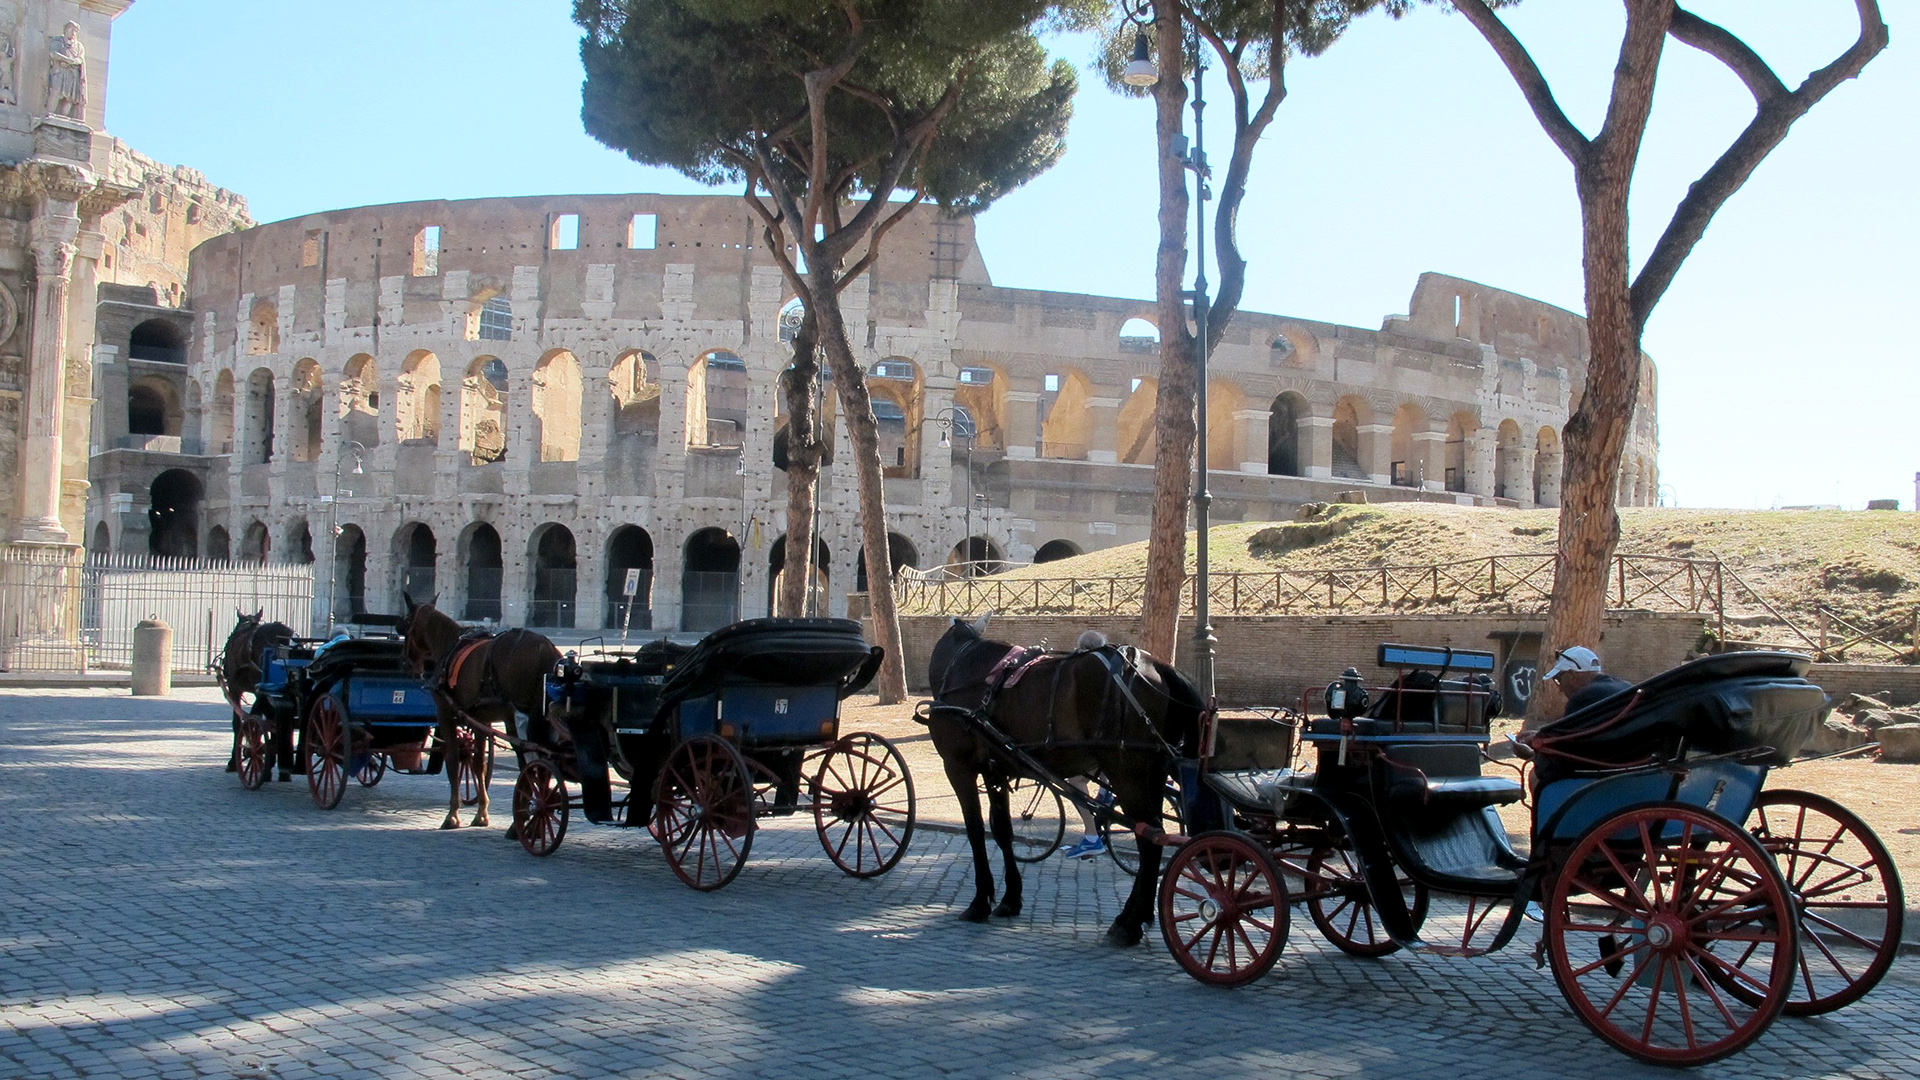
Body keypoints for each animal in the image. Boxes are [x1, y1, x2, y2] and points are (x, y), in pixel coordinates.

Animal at [397, 591, 560, 826]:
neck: (450, 644)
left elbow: (453, 761)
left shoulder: (445, 715)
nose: (404, 664)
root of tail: (545, 648)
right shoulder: (482, 720)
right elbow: (478, 763)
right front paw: (481, 812)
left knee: (529, 759)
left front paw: (452, 814)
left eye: (405, 626)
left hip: (519, 715)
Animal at [925, 614, 1205, 941]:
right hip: (1154, 772)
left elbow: (975, 831)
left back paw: (1131, 924)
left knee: (1149, 839)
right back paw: (1130, 915)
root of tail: (1157, 667)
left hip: (1127, 773)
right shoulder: (997, 771)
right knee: (1152, 834)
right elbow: (1003, 831)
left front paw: (980, 901)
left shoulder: (958, 767)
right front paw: (1010, 898)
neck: (961, 666)